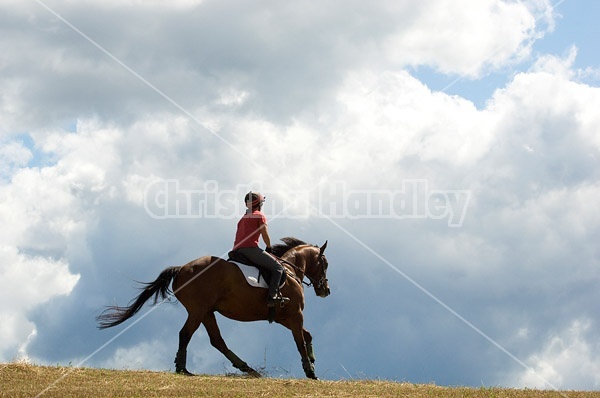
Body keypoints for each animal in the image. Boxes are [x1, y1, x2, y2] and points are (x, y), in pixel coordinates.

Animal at [99, 236, 332, 380]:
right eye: (325, 263)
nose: (325, 290)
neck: (289, 271)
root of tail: (181, 269)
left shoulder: (285, 317)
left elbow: (307, 336)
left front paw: (312, 360)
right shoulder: (295, 315)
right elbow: (300, 341)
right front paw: (310, 371)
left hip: (207, 312)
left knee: (216, 340)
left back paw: (247, 368)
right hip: (199, 310)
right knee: (186, 334)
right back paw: (183, 369)